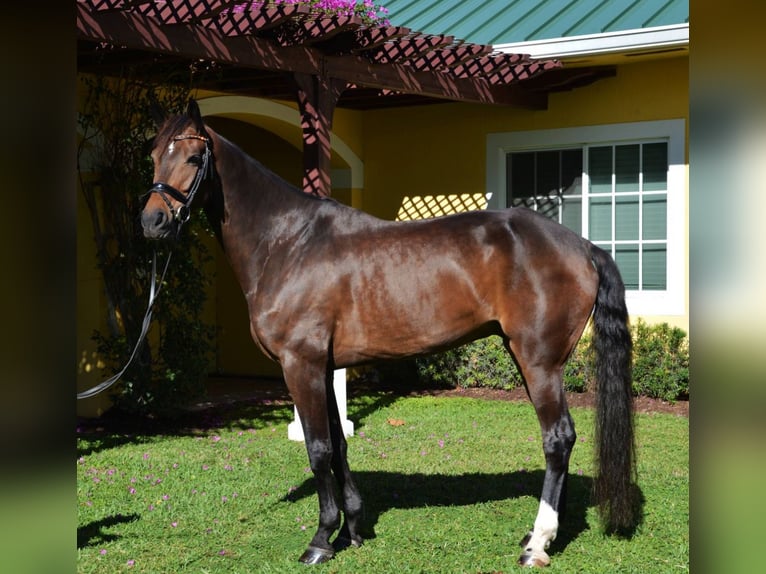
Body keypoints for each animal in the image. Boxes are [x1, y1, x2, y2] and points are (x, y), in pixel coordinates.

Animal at [141, 101, 640, 568]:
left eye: (193, 157)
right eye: (153, 156)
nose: (153, 222)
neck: (289, 243)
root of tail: (584, 247)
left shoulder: (300, 365)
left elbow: (318, 448)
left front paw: (321, 540)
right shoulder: (325, 368)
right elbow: (339, 444)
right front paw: (352, 529)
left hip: (539, 362)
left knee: (558, 438)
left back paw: (538, 544)